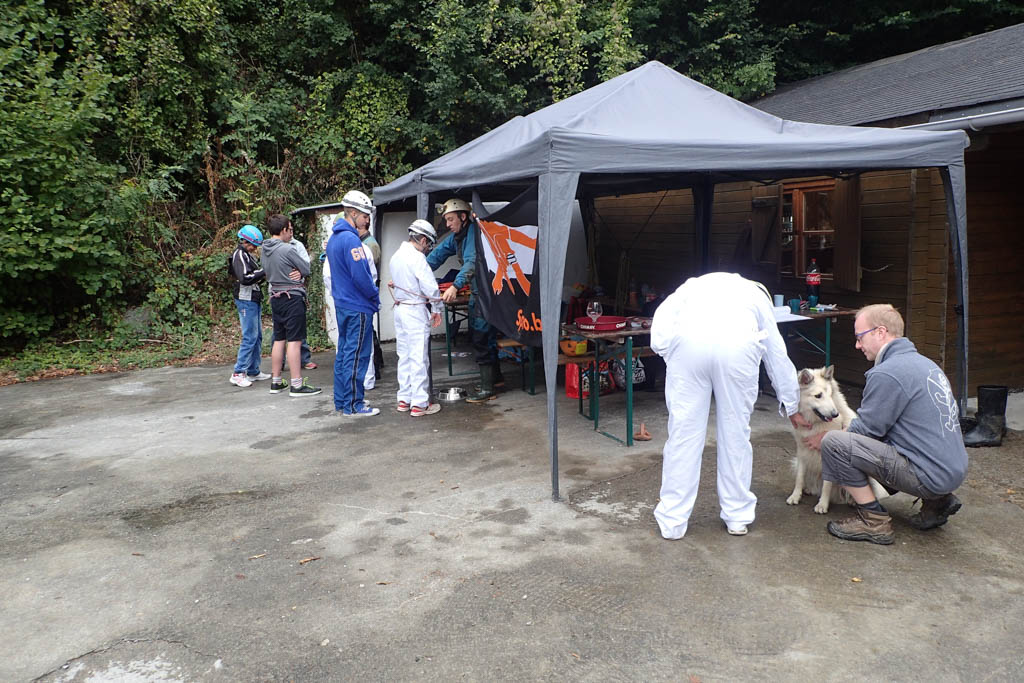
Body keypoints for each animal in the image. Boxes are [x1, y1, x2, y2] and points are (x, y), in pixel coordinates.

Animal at [787, 365, 888, 513]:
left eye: (830, 395)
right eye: (818, 396)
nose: (835, 414)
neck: (816, 423)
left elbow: (827, 485)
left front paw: (822, 504)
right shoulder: (802, 452)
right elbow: (799, 478)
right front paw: (795, 496)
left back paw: (852, 501)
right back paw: (810, 489)